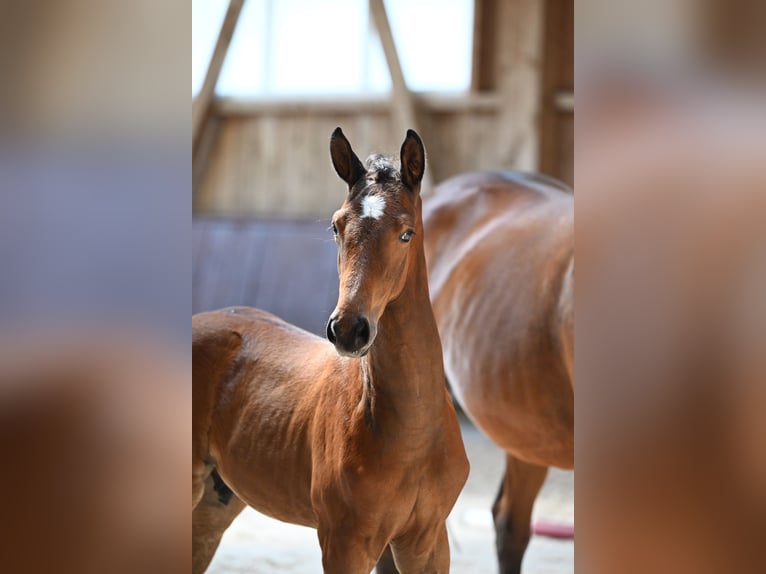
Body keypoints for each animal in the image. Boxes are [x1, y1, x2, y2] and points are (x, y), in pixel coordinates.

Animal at [194, 130, 468, 574]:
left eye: (406, 233)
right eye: (336, 226)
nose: (349, 330)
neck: (410, 434)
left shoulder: (426, 542)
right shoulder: (344, 543)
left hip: (213, 505)